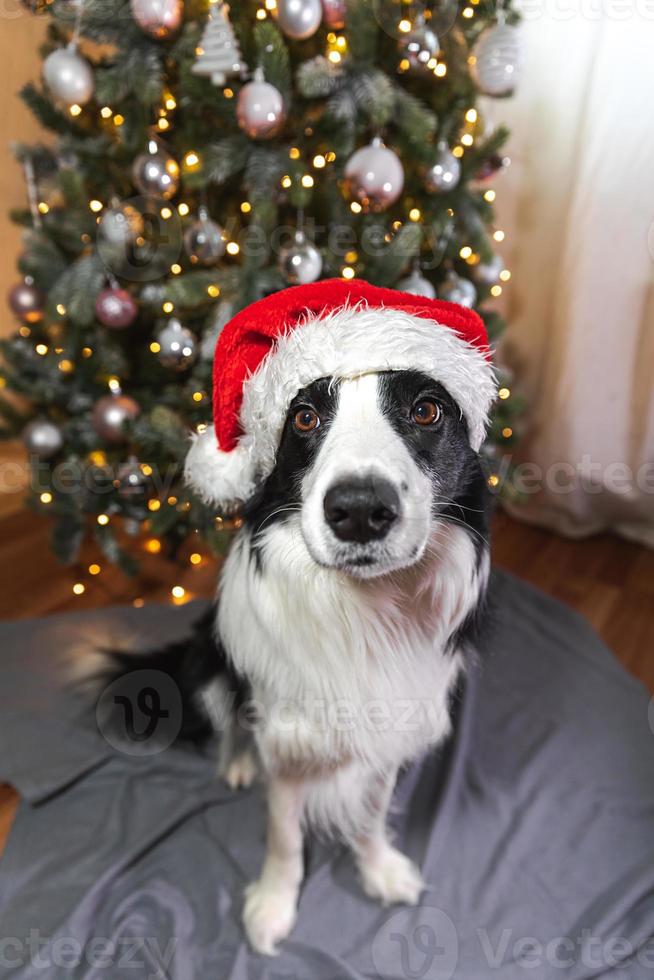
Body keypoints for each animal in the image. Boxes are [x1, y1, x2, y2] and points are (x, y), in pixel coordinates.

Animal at [102, 284, 494, 956]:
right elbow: (283, 834)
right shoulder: (287, 745)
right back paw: (237, 761)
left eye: (426, 411)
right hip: (210, 660)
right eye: (305, 419)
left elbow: (370, 813)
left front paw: (378, 868)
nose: (359, 511)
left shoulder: (389, 733)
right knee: (228, 718)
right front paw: (273, 906)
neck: (364, 609)